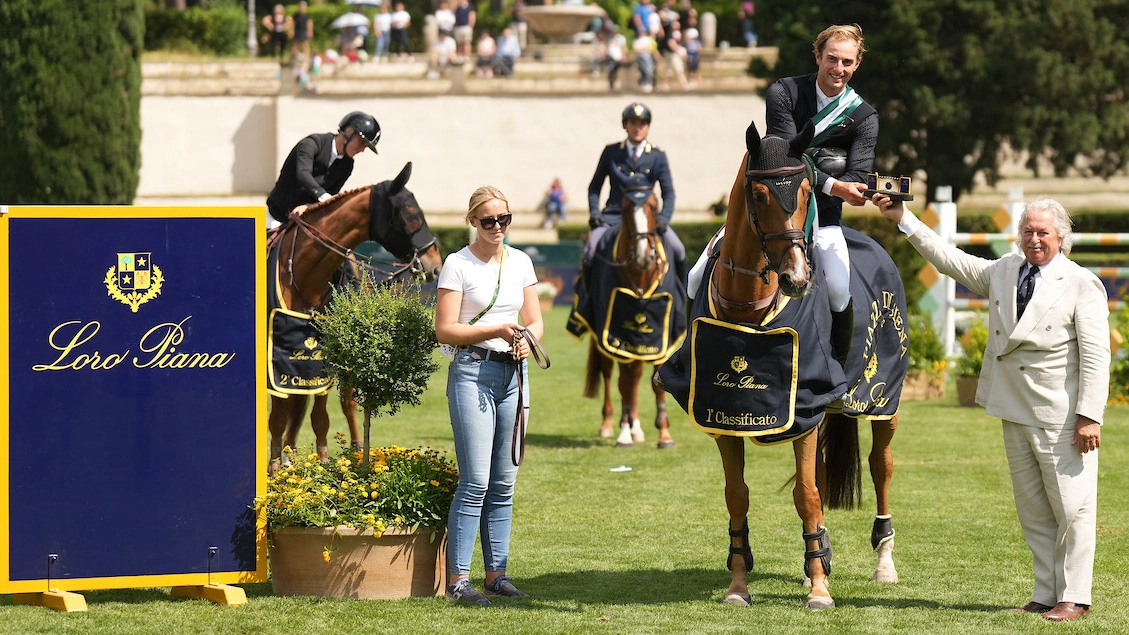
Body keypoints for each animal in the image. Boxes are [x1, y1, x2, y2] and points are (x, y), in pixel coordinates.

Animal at [267, 162, 440, 470]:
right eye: (410, 214)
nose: (435, 265)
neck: (301, 273)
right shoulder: (277, 352)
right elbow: (279, 411)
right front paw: (275, 469)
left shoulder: (320, 354)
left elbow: (319, 415)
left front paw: (322, 464)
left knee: (341, 400)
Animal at [659, 120, 907, 605]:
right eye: (759, 195)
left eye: (808, 188)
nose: (795, 277)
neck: (748, 306)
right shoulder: (725, 415)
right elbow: (737, 494)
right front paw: (739, 584)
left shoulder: (804, 405)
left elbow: (807, 495)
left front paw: (820, 592)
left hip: (883, 399)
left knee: (880, 465)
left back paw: (884, 563)